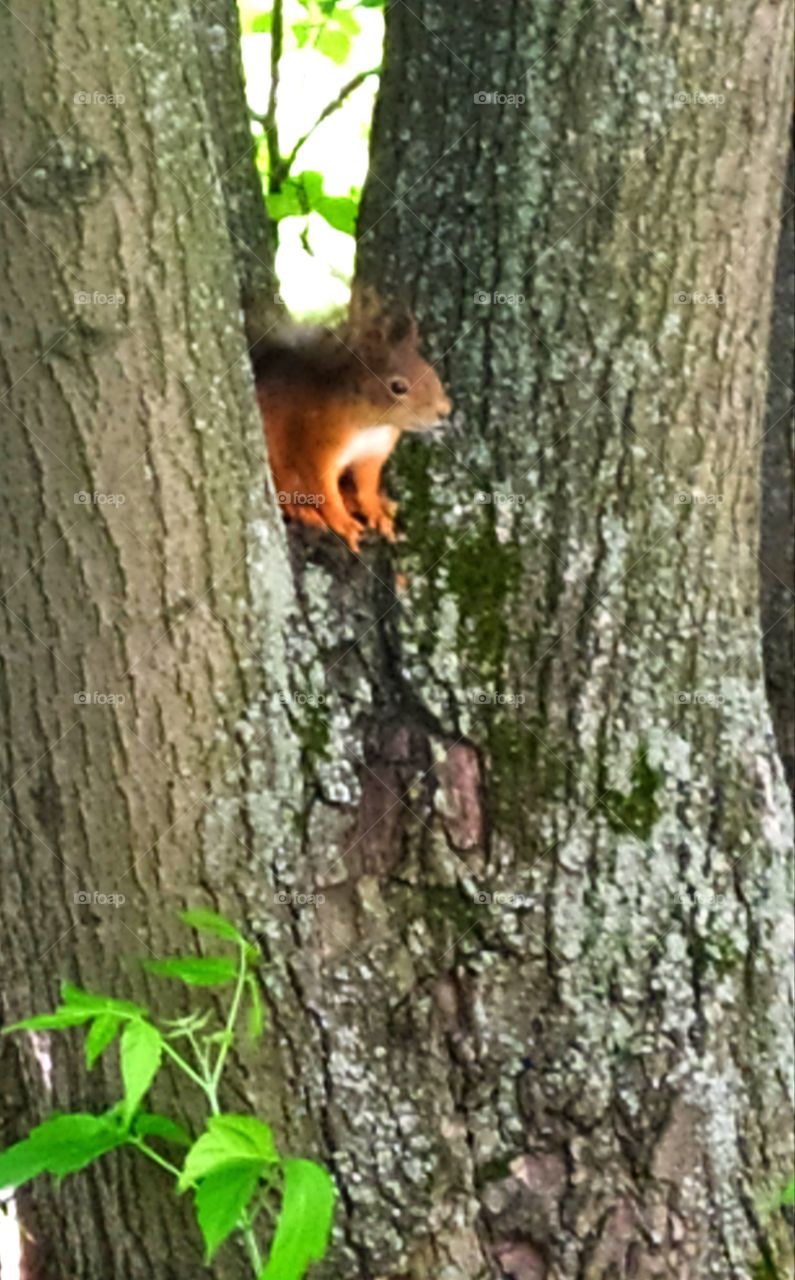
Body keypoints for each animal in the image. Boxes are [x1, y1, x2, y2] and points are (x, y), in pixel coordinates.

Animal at [252, 292, 451, 551]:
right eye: (398, 387)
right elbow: (324, 491)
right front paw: (344, 524)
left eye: (432, 373)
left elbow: (367, 487)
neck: (372, 425)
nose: (445, 411)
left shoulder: (372, 455)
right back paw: (302, 510)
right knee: (284, 488)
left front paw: (376, 512)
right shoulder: (316, 447)